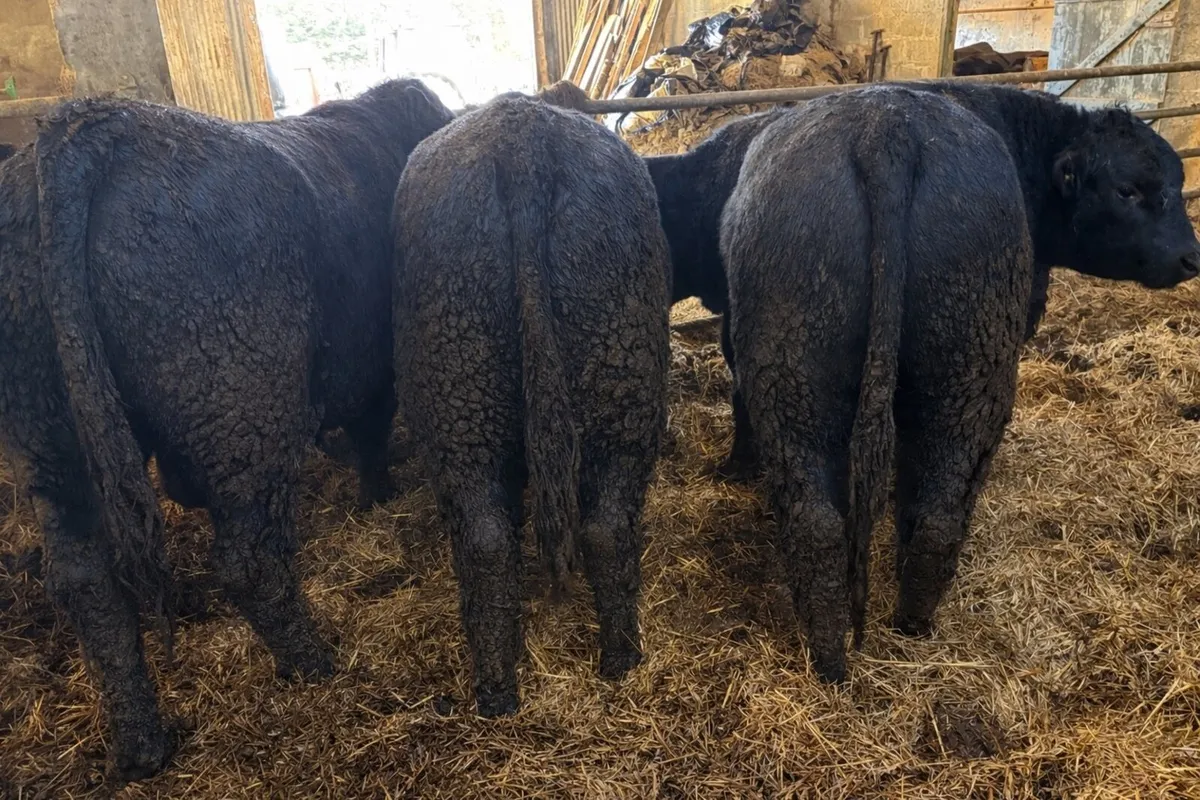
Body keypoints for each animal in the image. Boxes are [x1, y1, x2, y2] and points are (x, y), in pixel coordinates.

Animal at [0, 79, 453, 781]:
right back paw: (315, 664)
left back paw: (141, 747)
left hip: (47, 438)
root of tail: (90, 128)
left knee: (84, 583)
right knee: (248, 563)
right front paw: (377, 495)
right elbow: (372, 432)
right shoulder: (376, 362)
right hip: (242, 412)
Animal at [394, 93, 670, 717]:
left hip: (472, 388)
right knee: (586, 530)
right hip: (603, 381)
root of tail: (519, 136)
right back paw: (605, 664)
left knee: (497, 538)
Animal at [720, 83, 1199, 682]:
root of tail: (885, 128)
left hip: (799, 369)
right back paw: (913, 624)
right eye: (1128, 188)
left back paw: (838, 653)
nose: (1192, 258)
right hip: (974, 370)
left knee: (825, 521)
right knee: (941, 505)